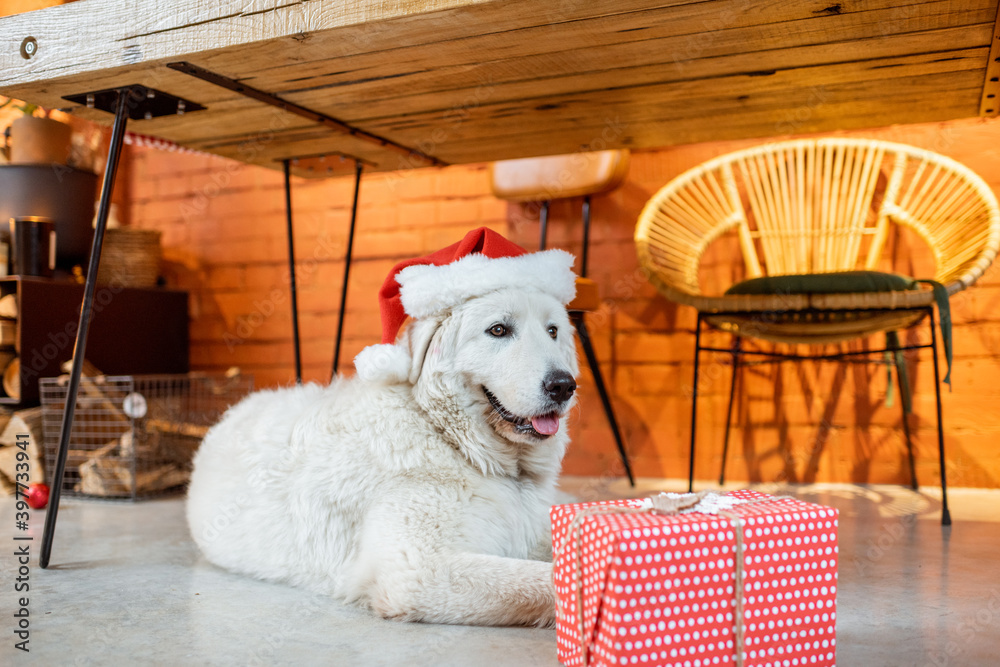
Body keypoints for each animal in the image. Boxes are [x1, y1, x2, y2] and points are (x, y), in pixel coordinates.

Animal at [188, 237, 580, 628]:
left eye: (553, 331)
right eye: (498, 329)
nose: (563, 386)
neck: (450, 439)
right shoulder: (418, 570)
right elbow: (545, 580)